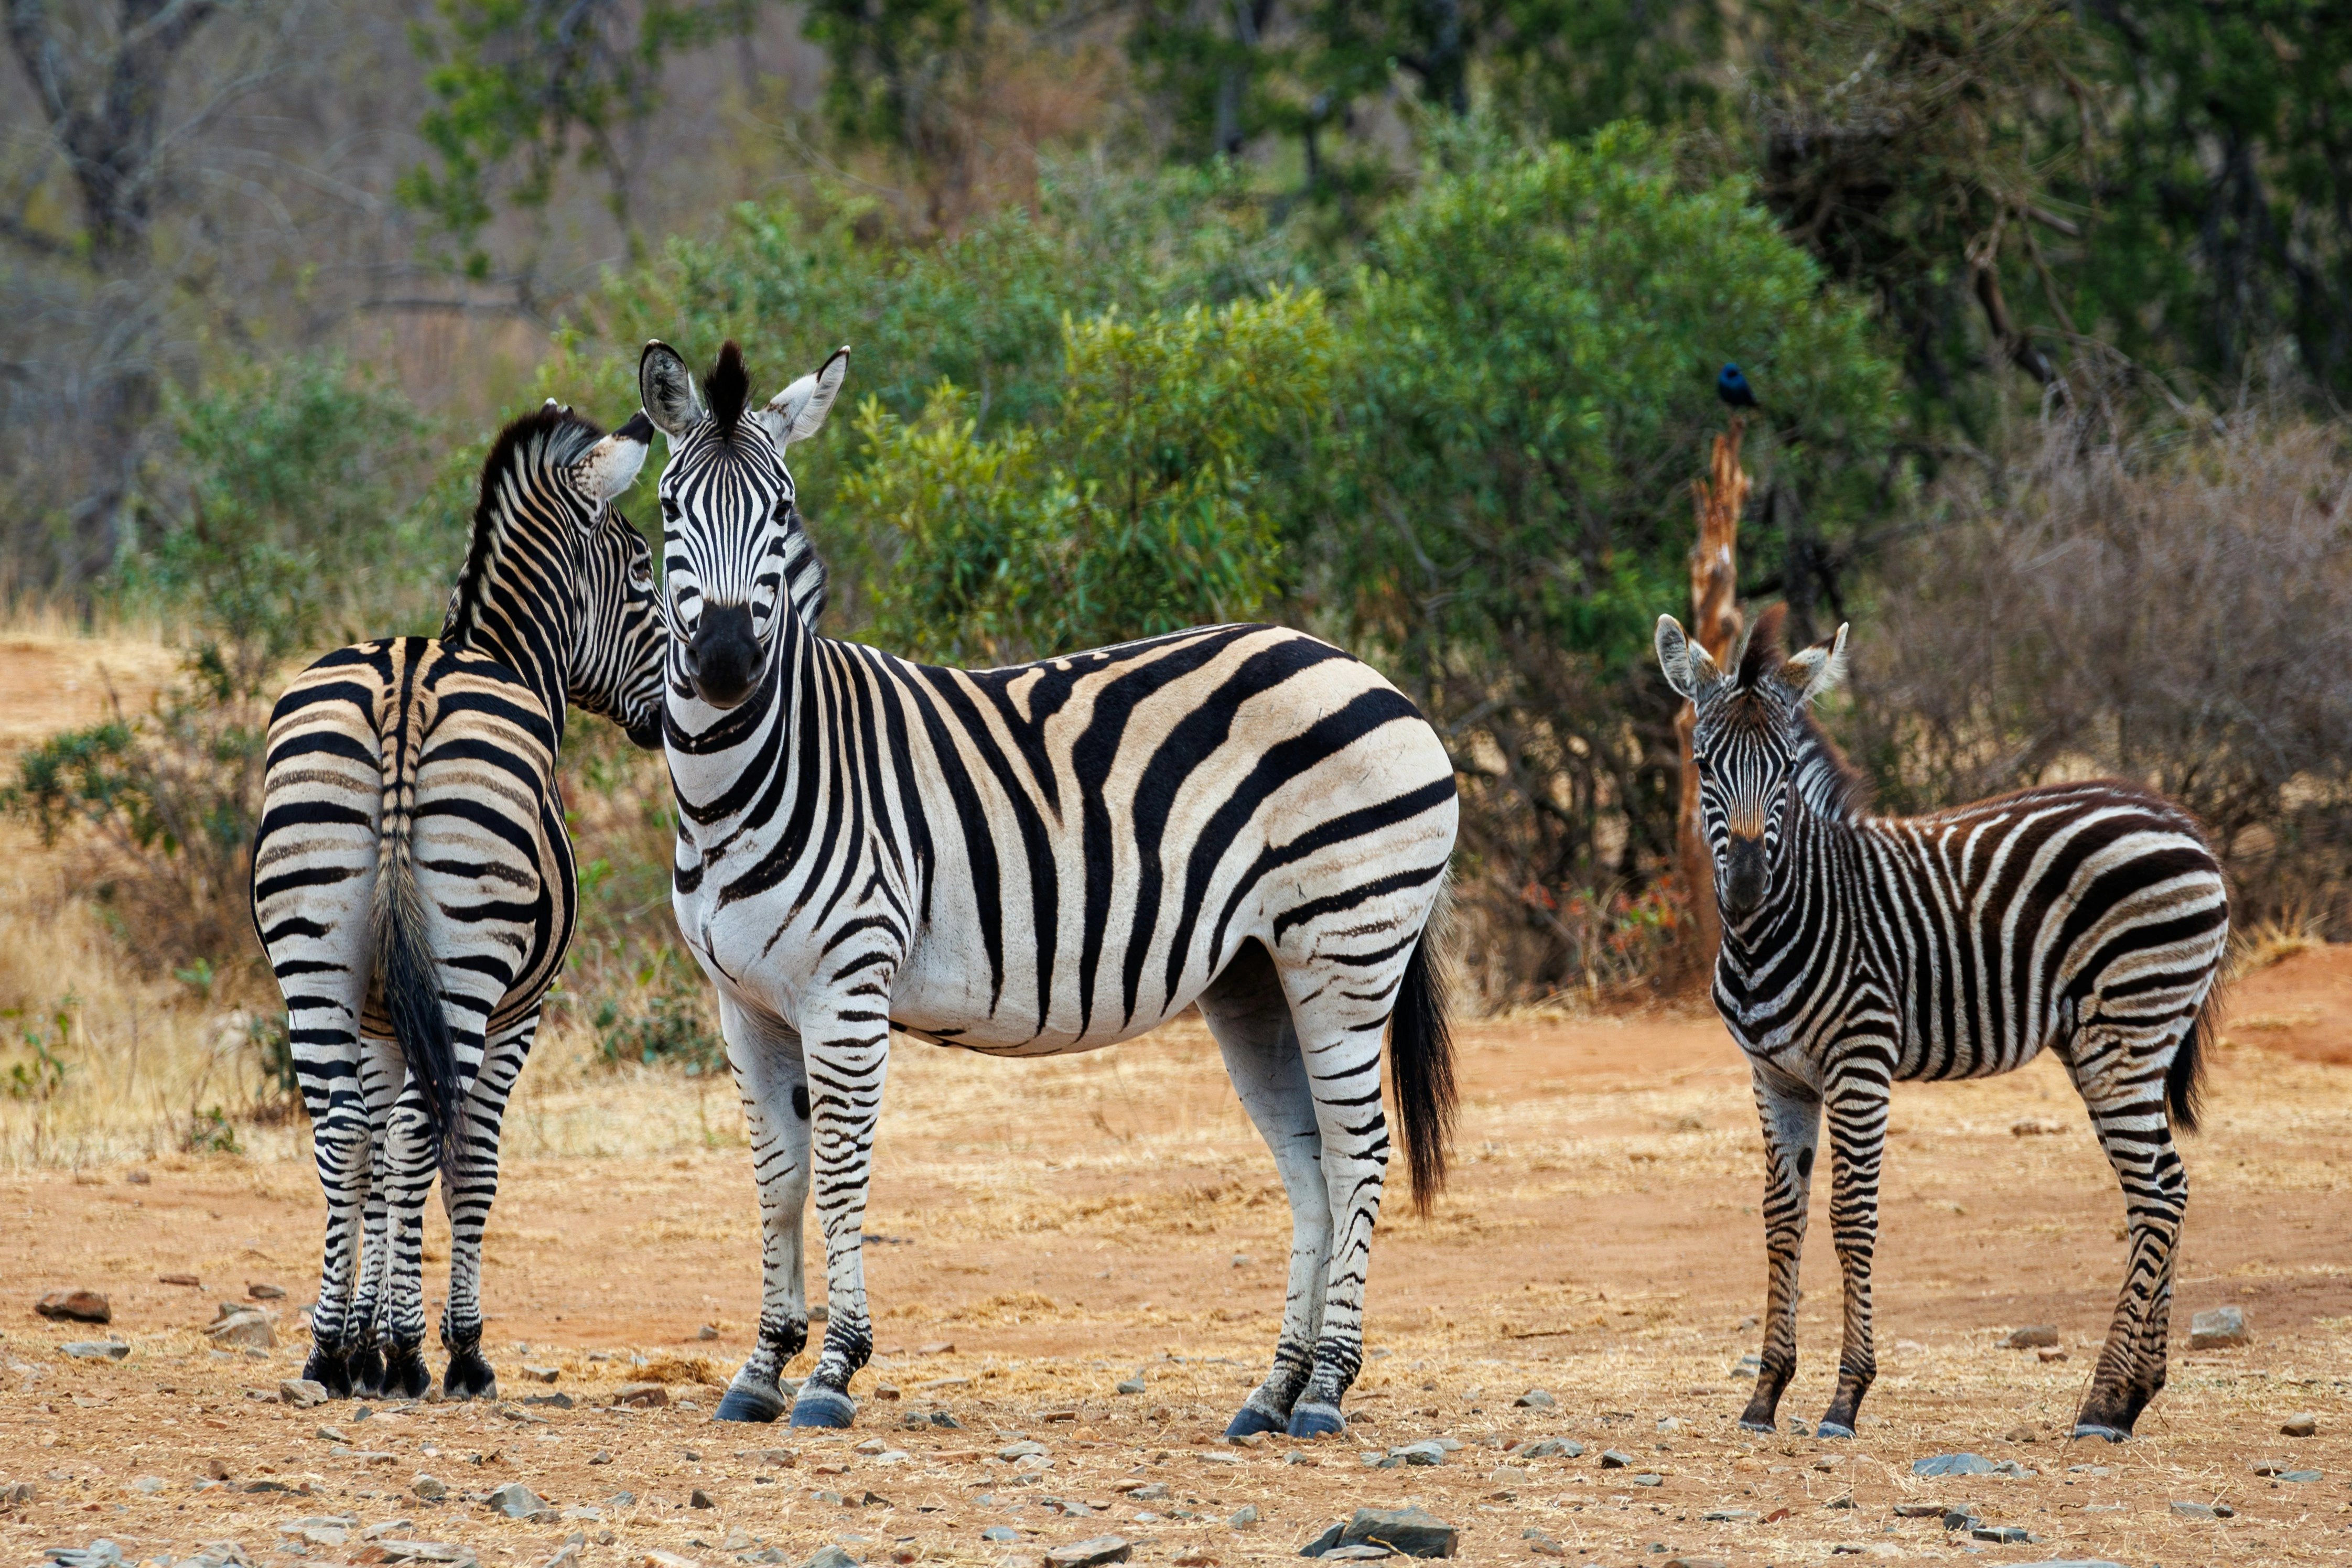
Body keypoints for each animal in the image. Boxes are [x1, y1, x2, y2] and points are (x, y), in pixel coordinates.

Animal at [250, 402, 666, 1401]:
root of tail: (404, 676)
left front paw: (358, 1339)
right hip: (473, 968)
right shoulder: (524, 1009)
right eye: (642, 570)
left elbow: (368, 1158)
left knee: (343, 1134)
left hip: (312, 954)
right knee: (415, 1137)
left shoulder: (381, 1017)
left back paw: (327, 1352)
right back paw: (409, 1354)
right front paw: (454, 1346)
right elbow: (471, 1160)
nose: (679, 711)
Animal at [634, 337, 1461, 1436]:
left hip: (1349, 944)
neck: (753, 777)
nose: (727, 663)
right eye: (669, 510)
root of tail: (1363, 671)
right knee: (1312, 1163)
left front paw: (833, 1371)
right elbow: (778, 1183)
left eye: (783, 510)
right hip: (1258, 975)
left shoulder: (845, 989)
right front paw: (761, 1367)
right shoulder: (744, 1004)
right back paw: (1272, 1391)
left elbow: (842, 1175)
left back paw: (1326, 1387)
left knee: (1360, 1149)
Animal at [1654, 603, 2228, 1443]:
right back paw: (2134, 1395)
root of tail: (2177, 820)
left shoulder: (1859, 1063)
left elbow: (1850, 1216)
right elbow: (1781, 1219)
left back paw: (2100, 1402)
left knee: (2155, 1195)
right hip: (2118, 1042)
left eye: (1785, 771)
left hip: (2126, 1030)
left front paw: (1844, 1398)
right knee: (2166, 1187)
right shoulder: (1775, 1076)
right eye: (1702, 764)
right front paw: (1764, 1395)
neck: (1782, 925)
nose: (1748, 888)